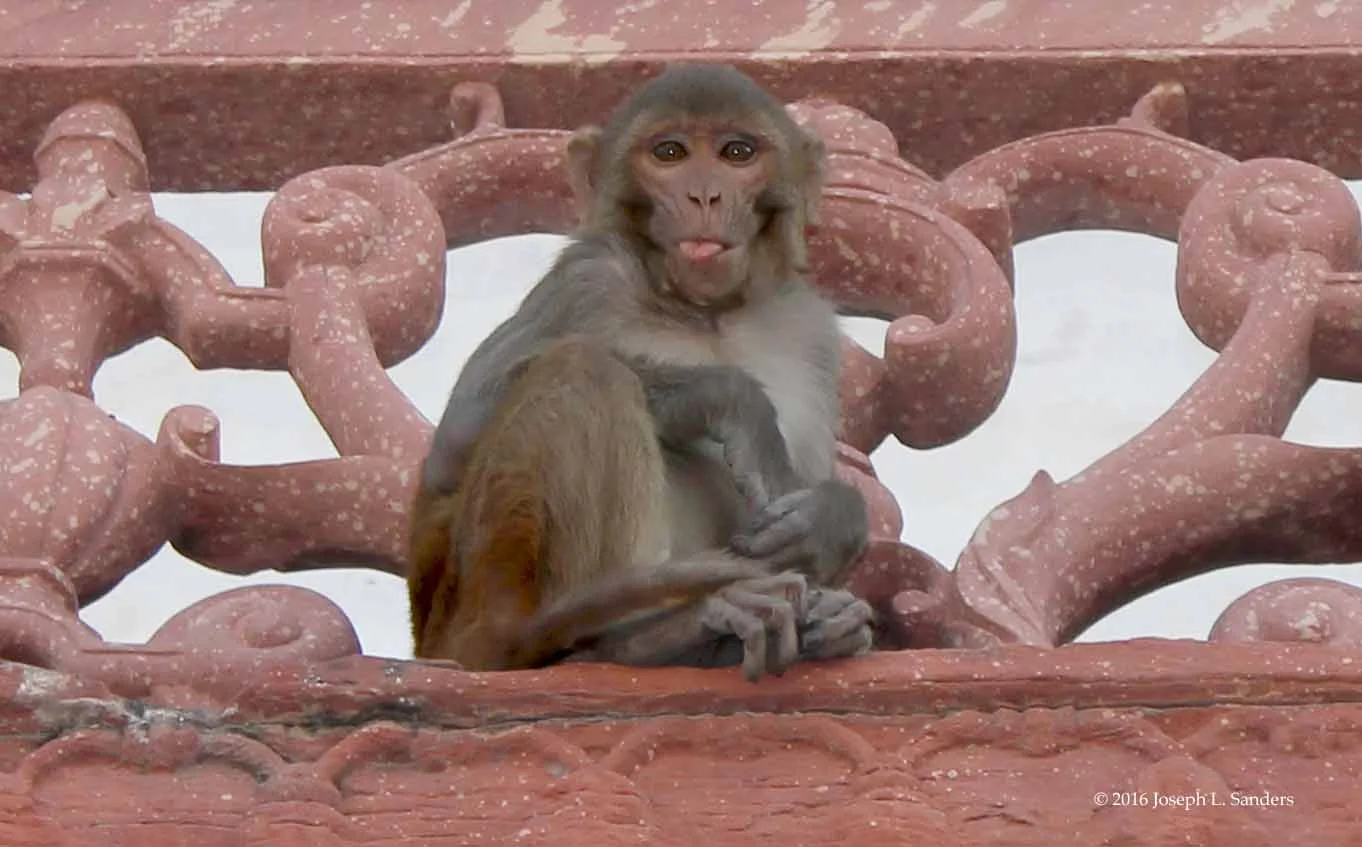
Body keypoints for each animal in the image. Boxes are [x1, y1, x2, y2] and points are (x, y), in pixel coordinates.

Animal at [409, 62, 874, 680]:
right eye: (669, 153)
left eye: (737, 152)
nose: (704, 194)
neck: (703, 314)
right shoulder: (587, 279)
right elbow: (454, 440)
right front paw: (731, 401)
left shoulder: (810, 330)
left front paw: (828, 519)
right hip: (470, 604)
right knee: (585, 369)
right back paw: (642, 638)